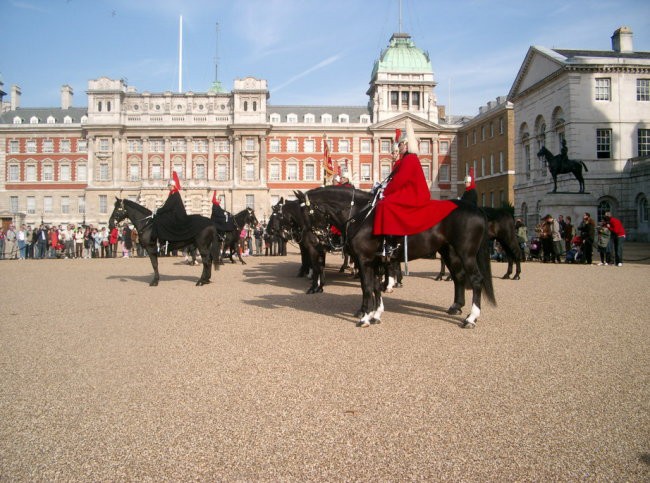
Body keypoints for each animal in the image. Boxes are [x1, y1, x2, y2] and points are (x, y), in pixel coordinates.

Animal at [294, 187, 492, 330]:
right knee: (459, 277)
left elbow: (367, 287)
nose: (312, 241)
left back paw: (471, 318)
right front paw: (375, 313)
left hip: (466, 254)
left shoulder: (364, 260)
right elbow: (375, 286)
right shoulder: (373, 261)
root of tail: (475, 208)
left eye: (307, 214)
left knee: (476, 280)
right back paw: (456, 307)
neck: (361, 215)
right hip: (449, 252)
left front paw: (365, 317)